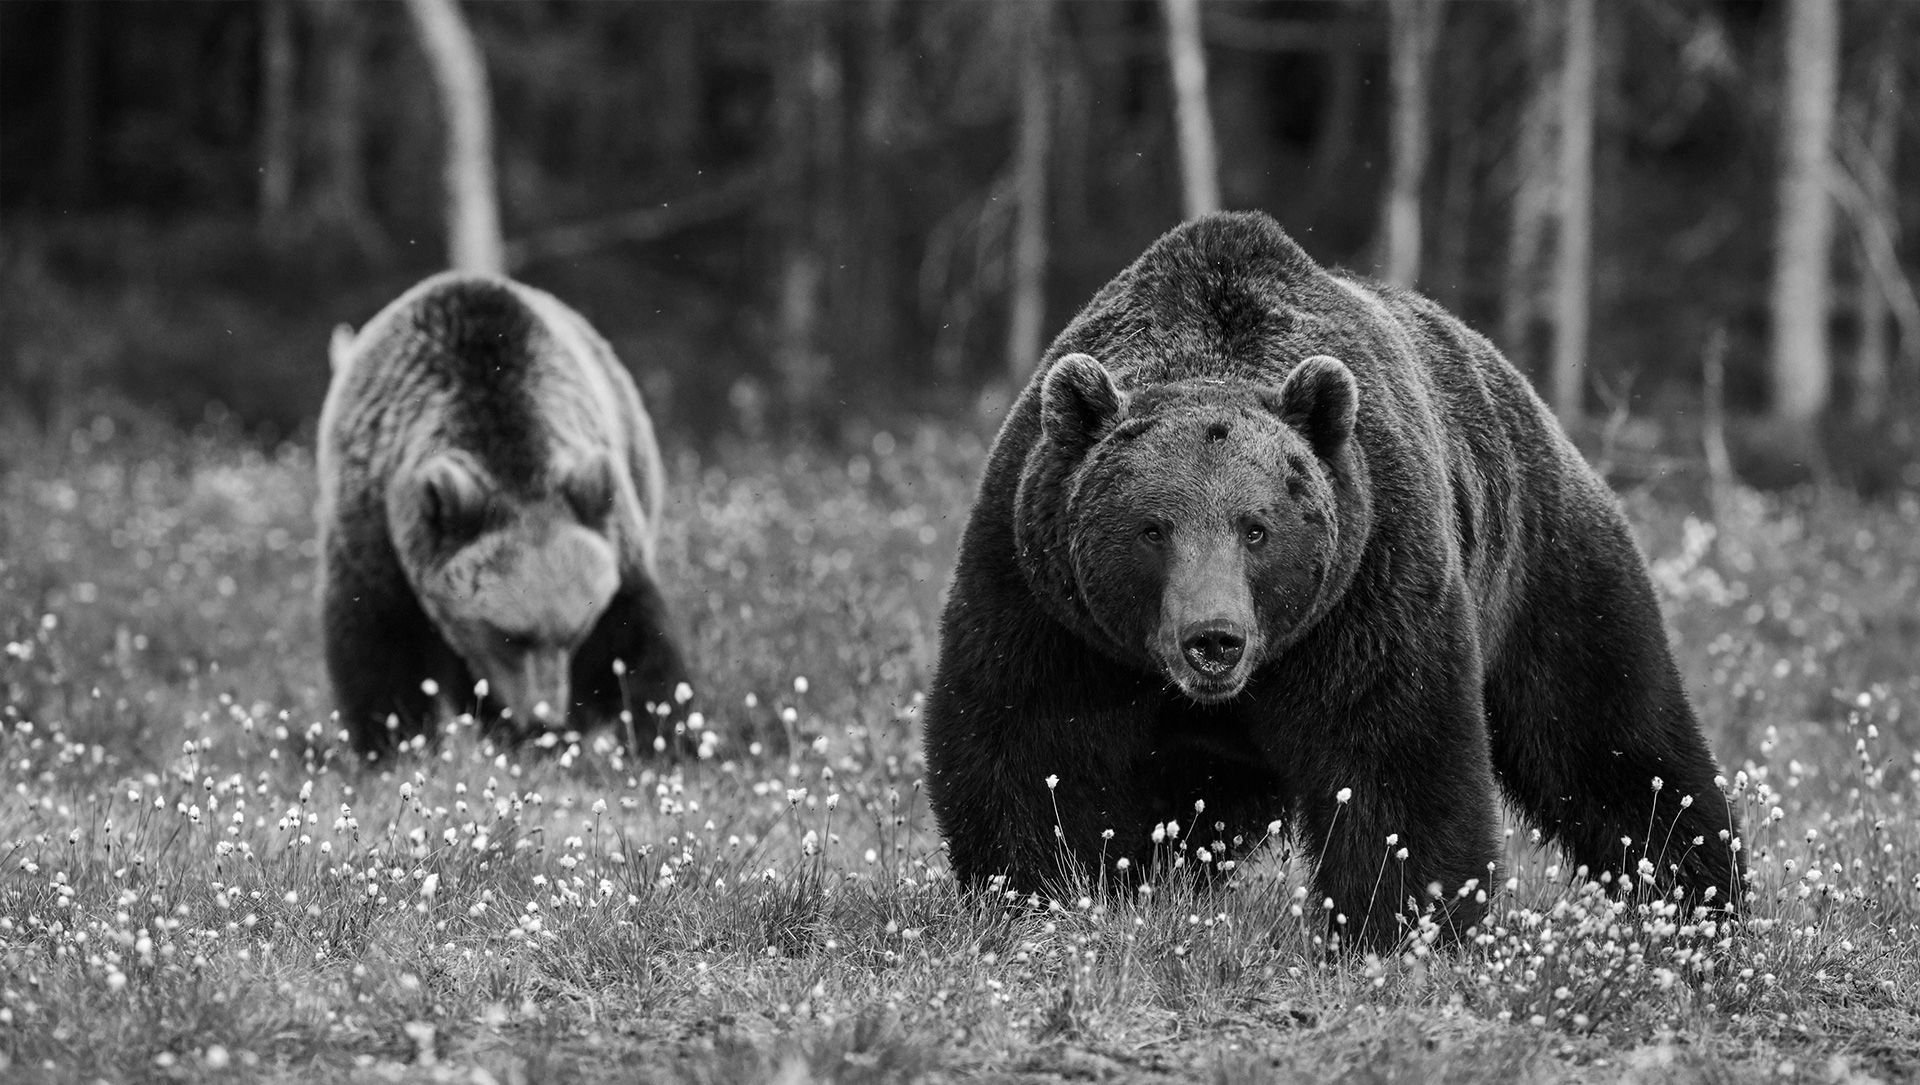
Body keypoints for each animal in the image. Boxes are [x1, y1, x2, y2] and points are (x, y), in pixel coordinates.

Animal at [317, 272, 690, 759]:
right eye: (511, 635)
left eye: (574, 631)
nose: (545, 717)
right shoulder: (371, 533)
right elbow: (377, 647)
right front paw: (392, 742)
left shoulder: (611, 535)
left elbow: (636, 637)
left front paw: (665, 736)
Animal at [923, 211, 1744, 951]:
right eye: (1153, 528)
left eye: (1256, 527)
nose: (1213, 639)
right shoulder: (1044, 600)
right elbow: (1029, 744)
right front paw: (1046, 894)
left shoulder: (1370, 580)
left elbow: (1393, 754)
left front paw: (1394, 928)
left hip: (1546, 570)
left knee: (1613, 737)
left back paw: (1702, 900)